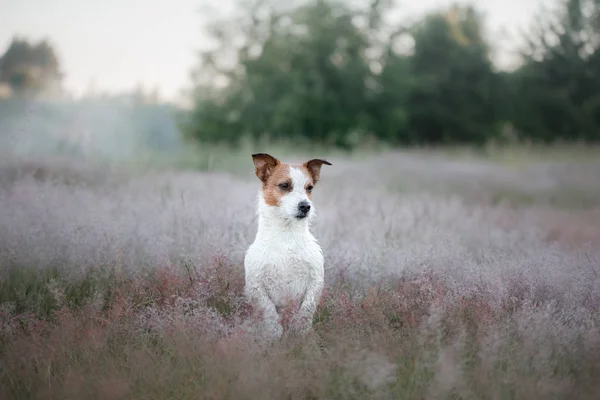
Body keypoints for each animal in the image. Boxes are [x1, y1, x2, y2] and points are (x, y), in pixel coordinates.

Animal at [244, 152, 332, 340]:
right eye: (284, 185)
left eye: (310, 188)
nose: (305, 206)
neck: (287, 235)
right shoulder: (255, 286)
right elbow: (268, 310)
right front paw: (274, 331)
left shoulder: (316, 280)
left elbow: (307, 308)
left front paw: (300, 329)